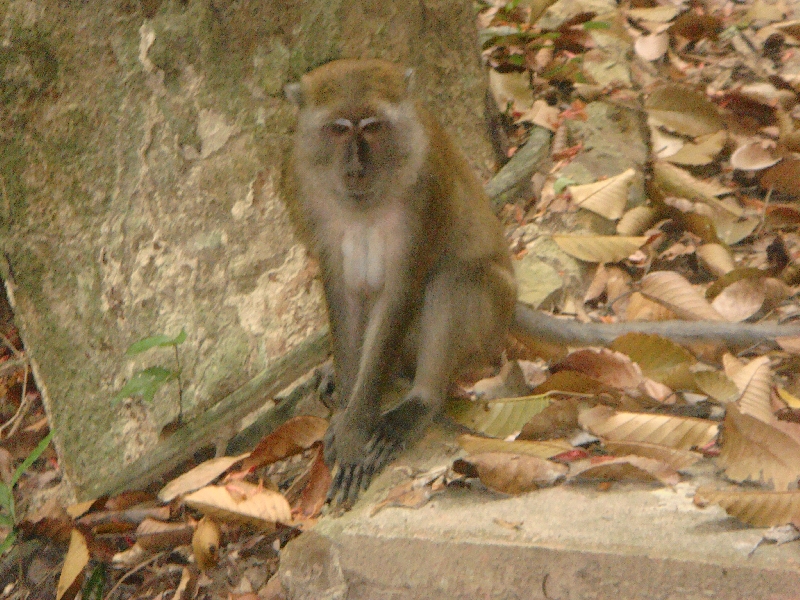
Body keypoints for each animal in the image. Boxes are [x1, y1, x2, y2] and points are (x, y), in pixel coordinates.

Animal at [288, 58, 800, 506]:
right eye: (338, 129)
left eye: (373, 126)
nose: (356, 168)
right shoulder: (309, 194)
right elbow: (340, 288)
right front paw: (347, 406)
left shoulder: (423, 191)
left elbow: (403, 291)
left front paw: (356, 427)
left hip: (487, 325)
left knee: (458, 280)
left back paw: (420, 403)